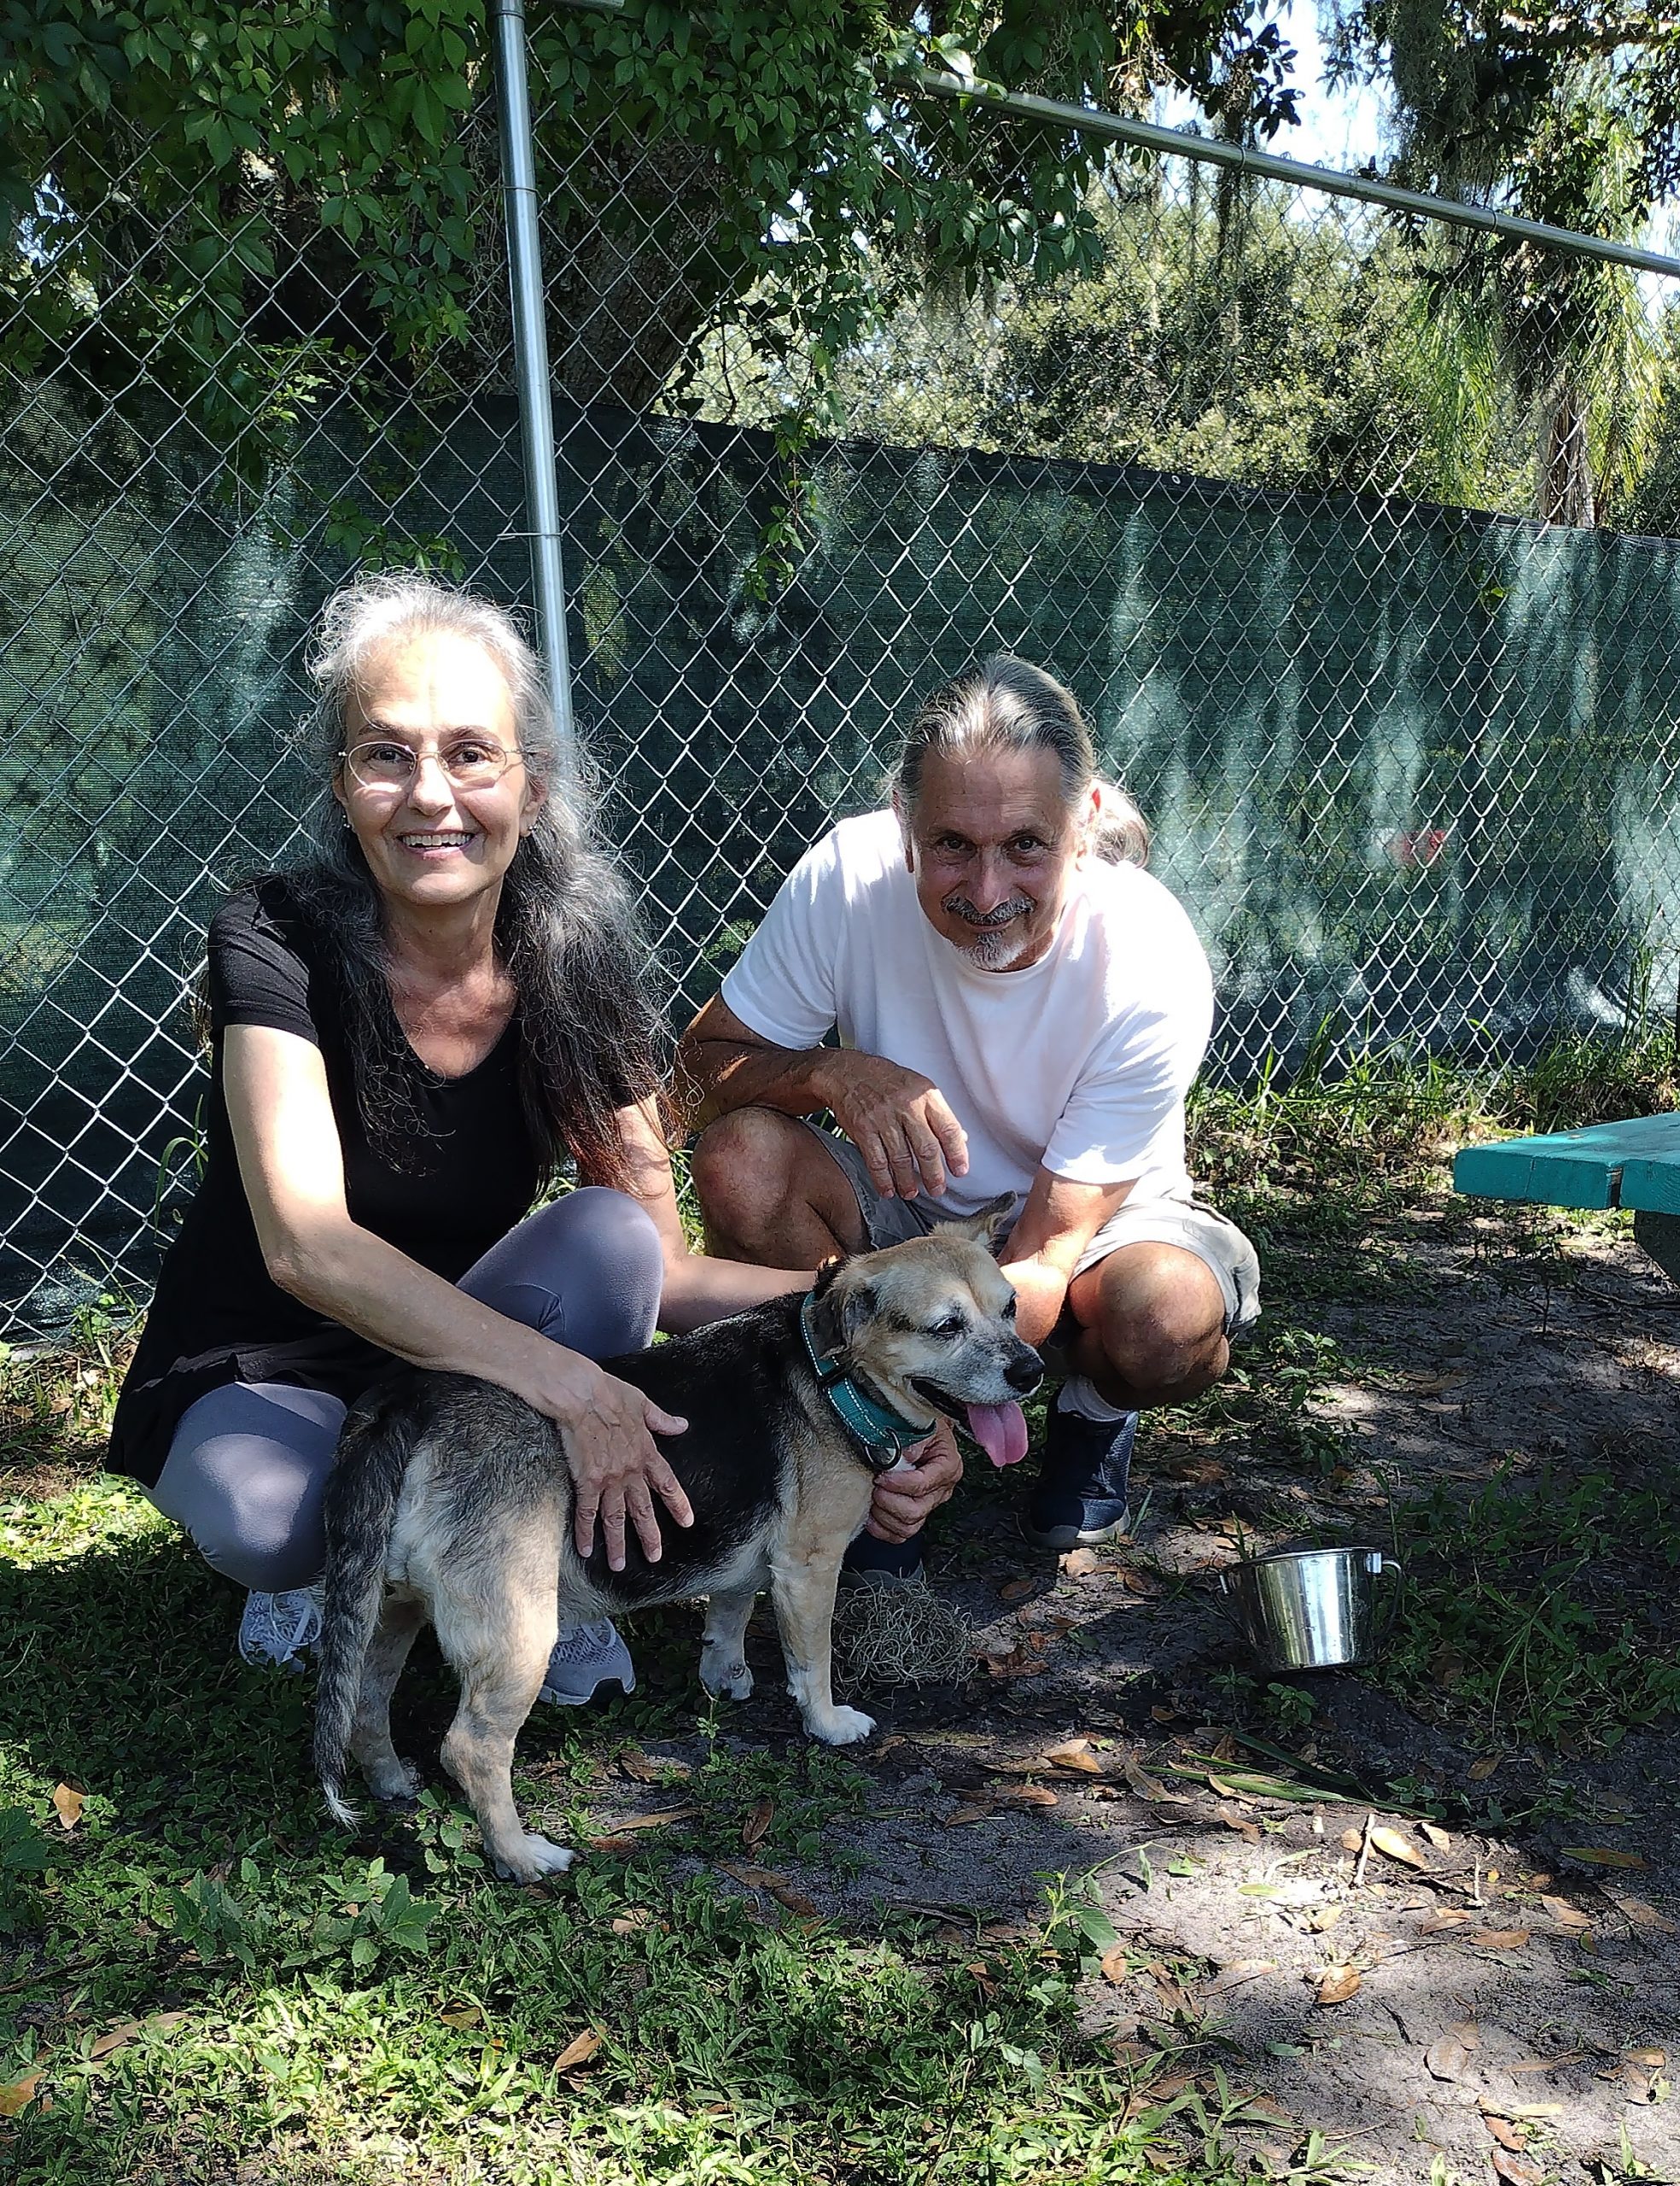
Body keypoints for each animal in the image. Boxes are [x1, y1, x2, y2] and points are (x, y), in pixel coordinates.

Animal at [310, 1197, 1035, 1879]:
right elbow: (812, 1662)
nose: (1030, 1372)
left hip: (389, 1610)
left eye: (1012, 1307)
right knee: (472, 1747)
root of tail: (406, 1408)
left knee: (365, 1701)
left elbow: (731, 1611)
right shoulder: (810, 1565)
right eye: (946, 1327)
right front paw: (828, 1724)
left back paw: (391, 1782)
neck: (833, 1378)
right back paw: (520, 1855)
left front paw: (726, 1676)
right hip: (519, 1629)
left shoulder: (752, 1554)